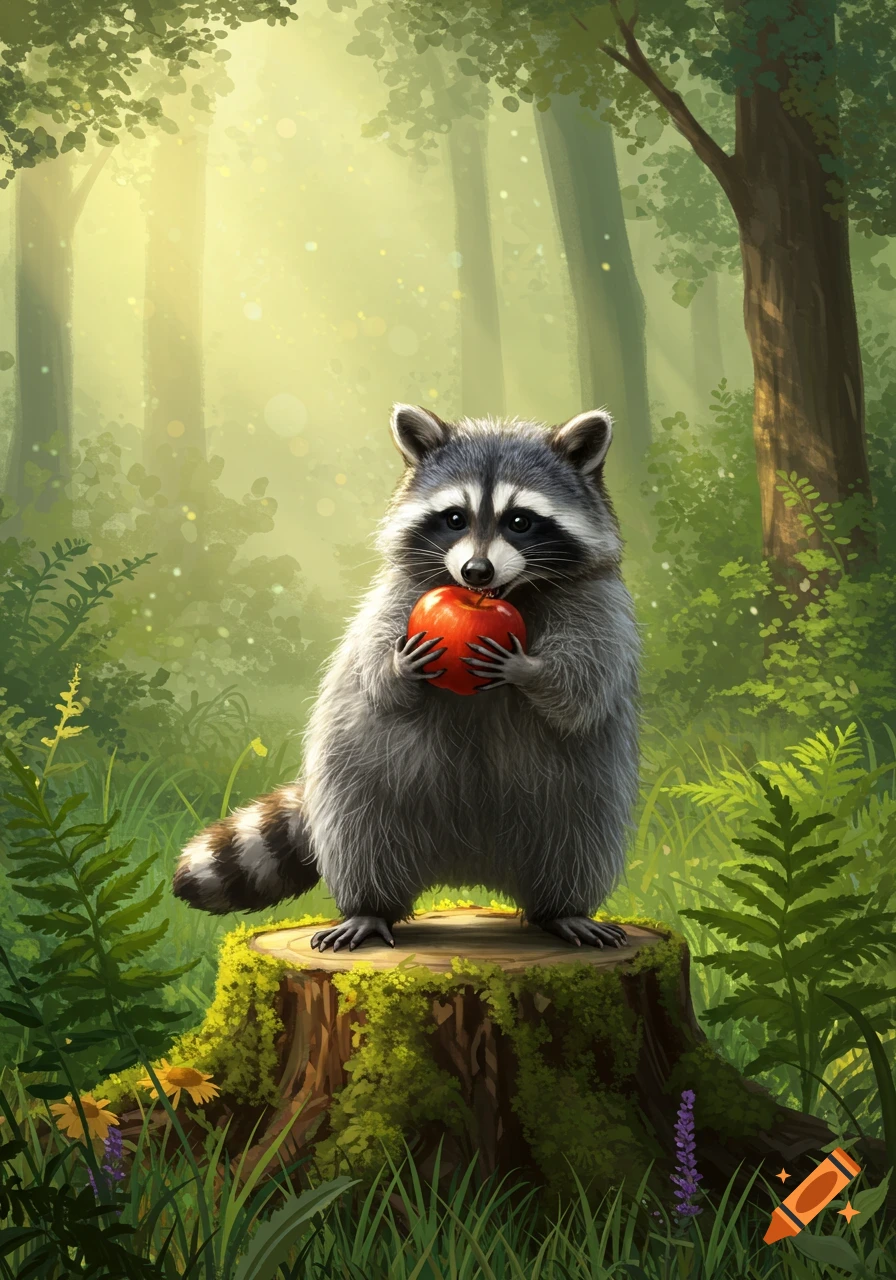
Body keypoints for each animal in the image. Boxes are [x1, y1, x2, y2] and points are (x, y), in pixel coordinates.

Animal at [172, 403, 641, 952]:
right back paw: (369, 908)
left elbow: (582, 687)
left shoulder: (598, 605)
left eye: (520, 521)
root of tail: (467, 867)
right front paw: (399, 667)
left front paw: (526, 668)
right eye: (455, 518)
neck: (511, 592)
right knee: (360, 837)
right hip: (363, 782)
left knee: (576, 840)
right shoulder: (397, 594)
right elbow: (375, 669)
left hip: (580, 789)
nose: (476, 572)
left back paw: (563, 909)